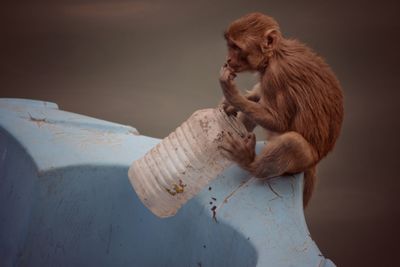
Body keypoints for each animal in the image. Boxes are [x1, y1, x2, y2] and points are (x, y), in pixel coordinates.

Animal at [219, 12, 344, 207]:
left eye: (236, 48)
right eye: (230, 46)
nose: (228, 60)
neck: (273, 56)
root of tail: (316, 161)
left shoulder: (275, 77)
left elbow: (279, 121)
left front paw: (232, 95)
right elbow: (261, 97)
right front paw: (235, 102)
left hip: (302, 162)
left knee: (292, 141)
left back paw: (249, 162)